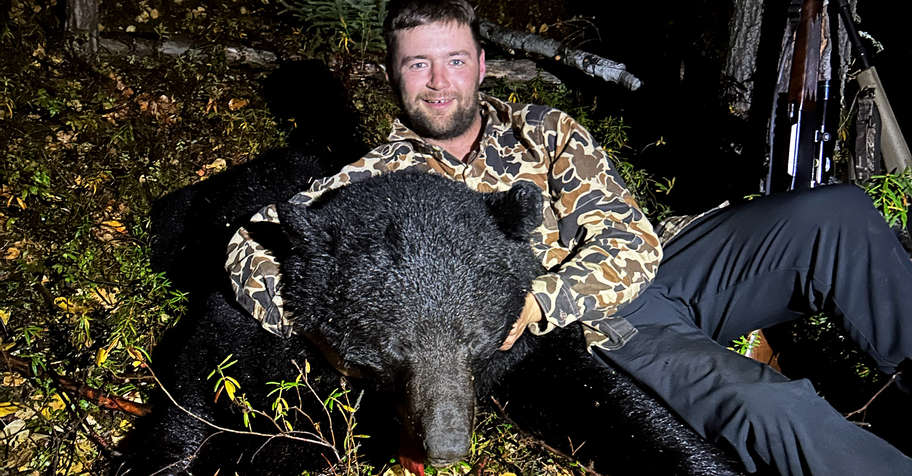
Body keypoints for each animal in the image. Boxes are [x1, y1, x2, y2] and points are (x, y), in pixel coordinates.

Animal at [119, 170, 745, 475]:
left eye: (475, 343)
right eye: (392, 348)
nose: (446, 446)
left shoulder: (526, 345)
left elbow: (610, 402)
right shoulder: (261, 324)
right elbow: (202, 383)